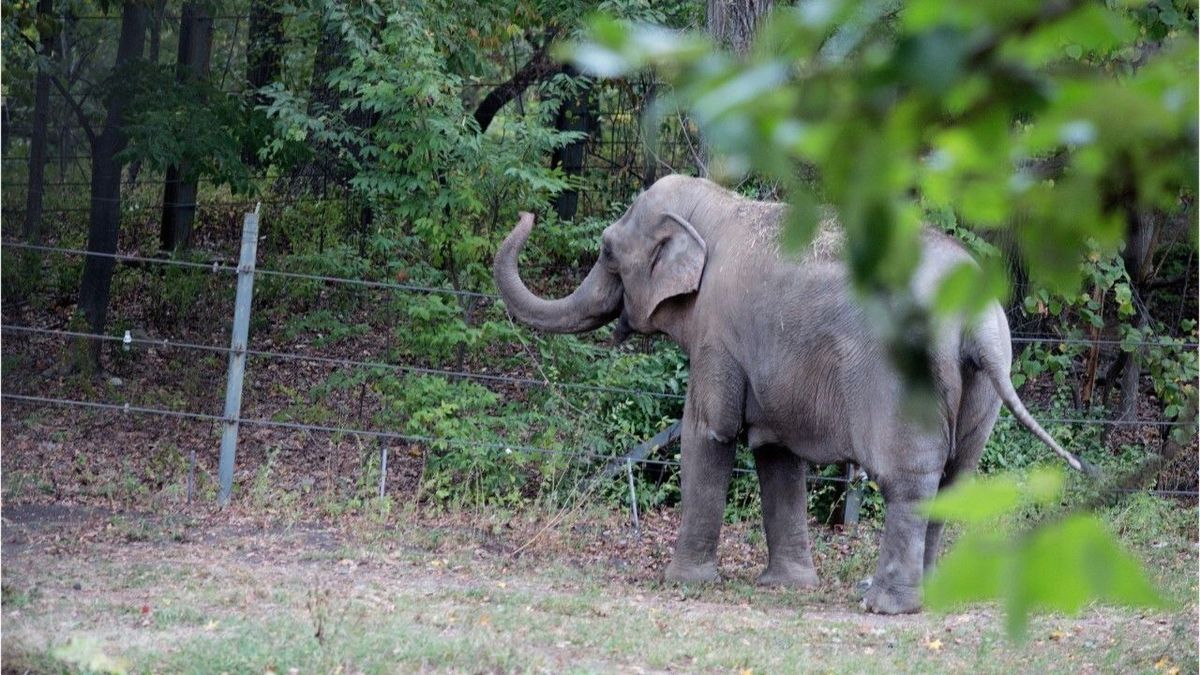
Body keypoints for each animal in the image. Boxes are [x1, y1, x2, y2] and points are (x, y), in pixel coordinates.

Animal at [496, 171, 1089, 610]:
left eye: (607, 252)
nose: (527, 213)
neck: (717, 208)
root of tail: (977, 319)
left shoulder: (719, 334)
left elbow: (708, 434)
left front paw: (682, 582)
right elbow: (776, 451)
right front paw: (786, 587)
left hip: (907, 377)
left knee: (909, 478)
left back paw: (885, 606)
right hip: (984, 386)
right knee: (956, 480)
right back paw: (931, 599)